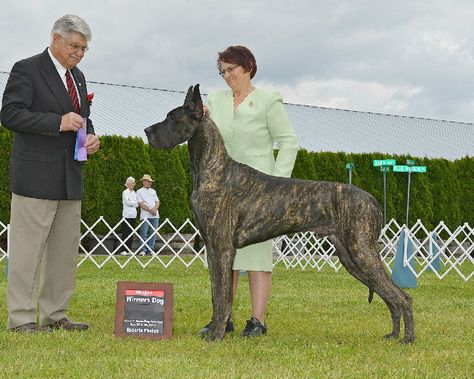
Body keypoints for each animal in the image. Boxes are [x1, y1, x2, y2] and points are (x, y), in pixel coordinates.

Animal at [144, 85, 414, 344]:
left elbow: (222, 298)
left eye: (172, 118)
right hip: (350, 257)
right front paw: (215, 329)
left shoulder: (222, 248)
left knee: (403, 296)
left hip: (361, 250)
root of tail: (372, 200)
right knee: (389, 295)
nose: (146, 131)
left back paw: (407, 339)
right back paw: (393, 335)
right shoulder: (211, 248)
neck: (212, 168)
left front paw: (217, 335)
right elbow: (216, 294)